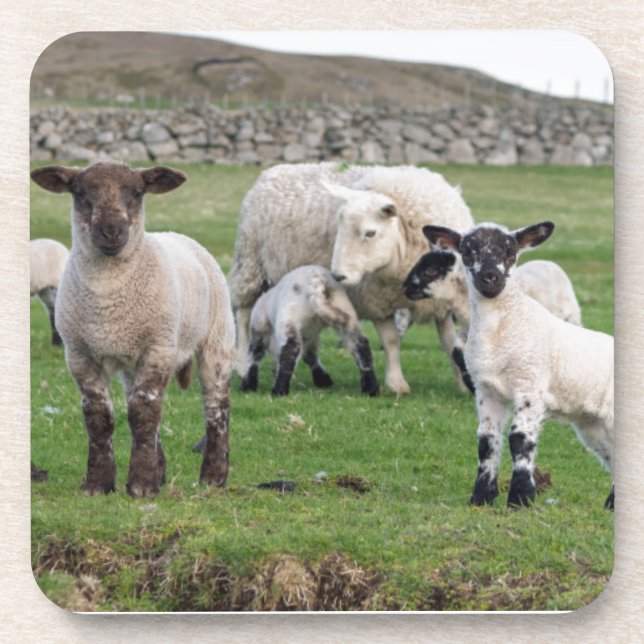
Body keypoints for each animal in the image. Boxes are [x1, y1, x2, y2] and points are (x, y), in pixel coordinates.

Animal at [30, 162, 235, 498]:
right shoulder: (79, 354)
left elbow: (144, 412)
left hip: (216, 339)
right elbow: (99, 416)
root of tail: (179, 236)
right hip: (131, 362)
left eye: (137, 192)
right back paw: (161, 471)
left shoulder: (158, 347)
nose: (111, 230)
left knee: (216, 406)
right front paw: (99, 484)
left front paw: (140, 485)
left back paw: (213, 477)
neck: (108, 299)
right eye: (80, 193)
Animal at [241, 265, 379, 397]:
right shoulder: (311, 336)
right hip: (346, 314)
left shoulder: (259, 328)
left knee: (289, 351)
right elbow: (310, 355)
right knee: (361, 347)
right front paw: (323, 379)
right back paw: (371, 389)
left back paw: (279, 390)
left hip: (289, 318)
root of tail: (317, 280)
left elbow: (254, 356)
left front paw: (248, 385)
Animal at [423, 221, 614, 509]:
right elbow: (487, 440)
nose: (490, 277)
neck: (500, 329)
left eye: (511, 251)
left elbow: (519, 439)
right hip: (592, 424)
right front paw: (481, 497)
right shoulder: (486, 390)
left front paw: (521, 498)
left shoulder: (529, 385)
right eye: (467, 251)